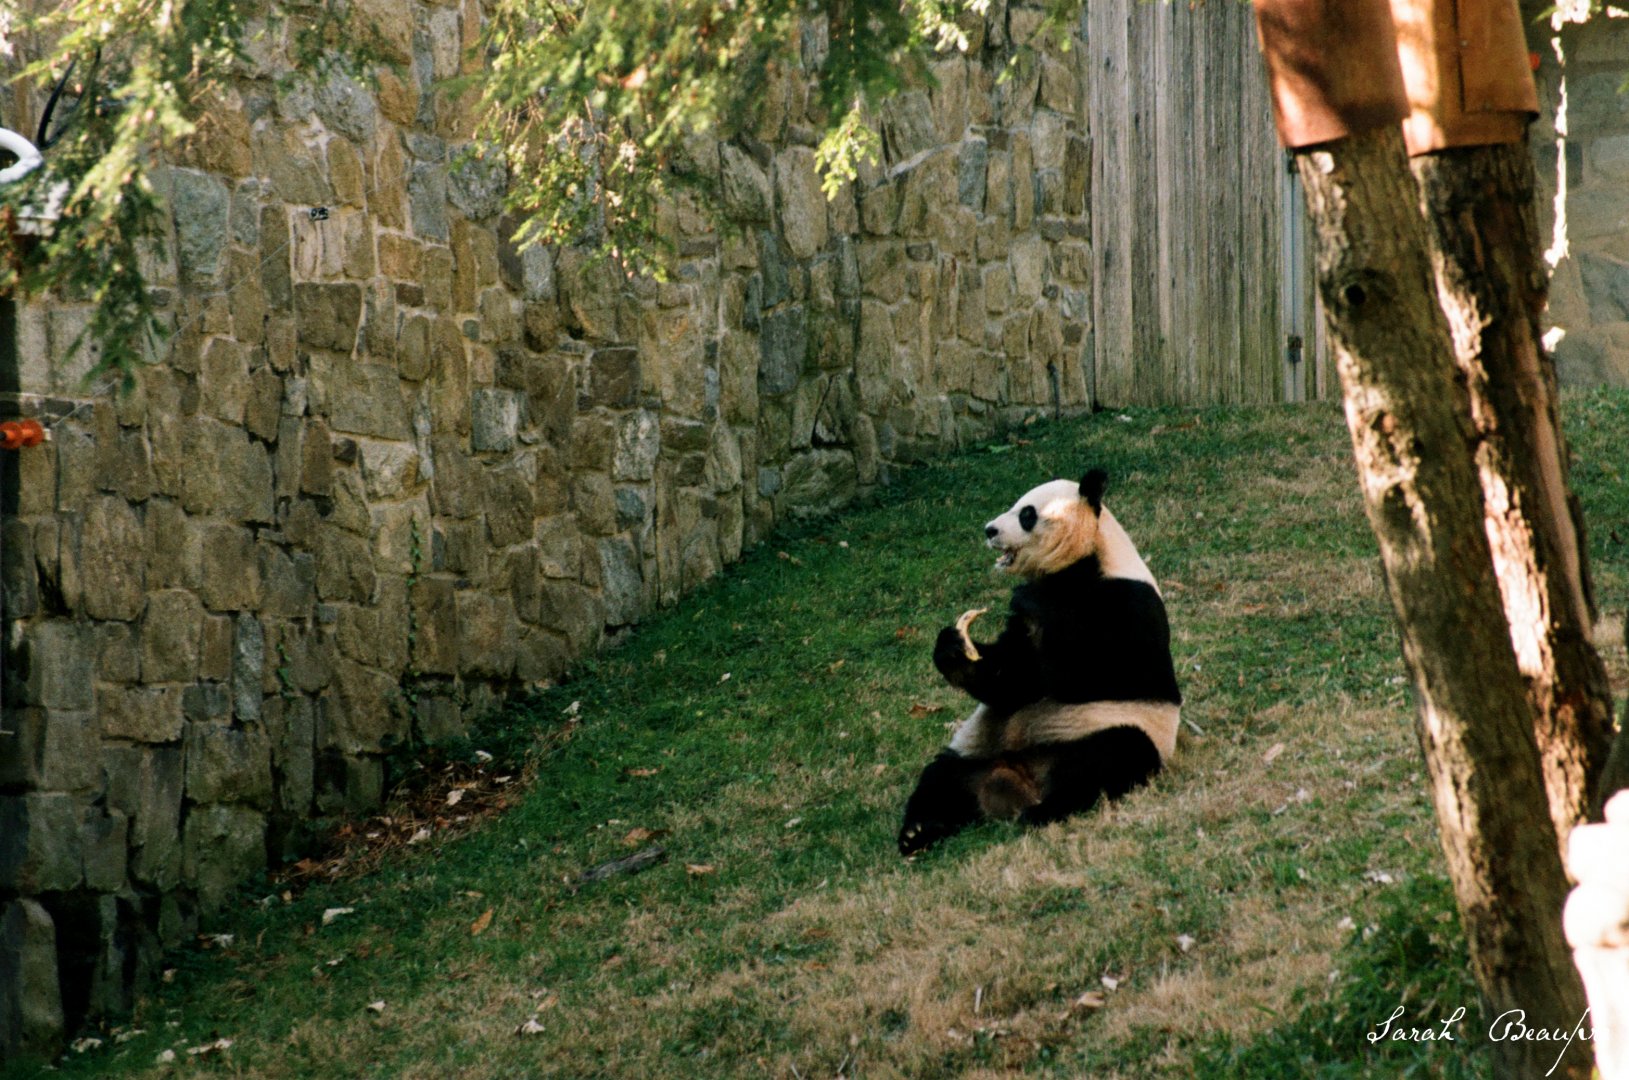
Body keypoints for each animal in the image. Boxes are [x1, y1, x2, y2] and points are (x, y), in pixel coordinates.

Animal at [898, 468, 1181, 855]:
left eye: (1027, 514)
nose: (989, 530)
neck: (1082, 564)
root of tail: (1022, 780)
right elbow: (1012, 681)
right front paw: (953, 648)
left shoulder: (1126, 599)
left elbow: (1097, 671)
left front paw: (1028, 598)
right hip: (976, 749)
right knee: (941, 778)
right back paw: (918, 830)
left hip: (1116, 727)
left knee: (1109, 759)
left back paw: (1043, 811)